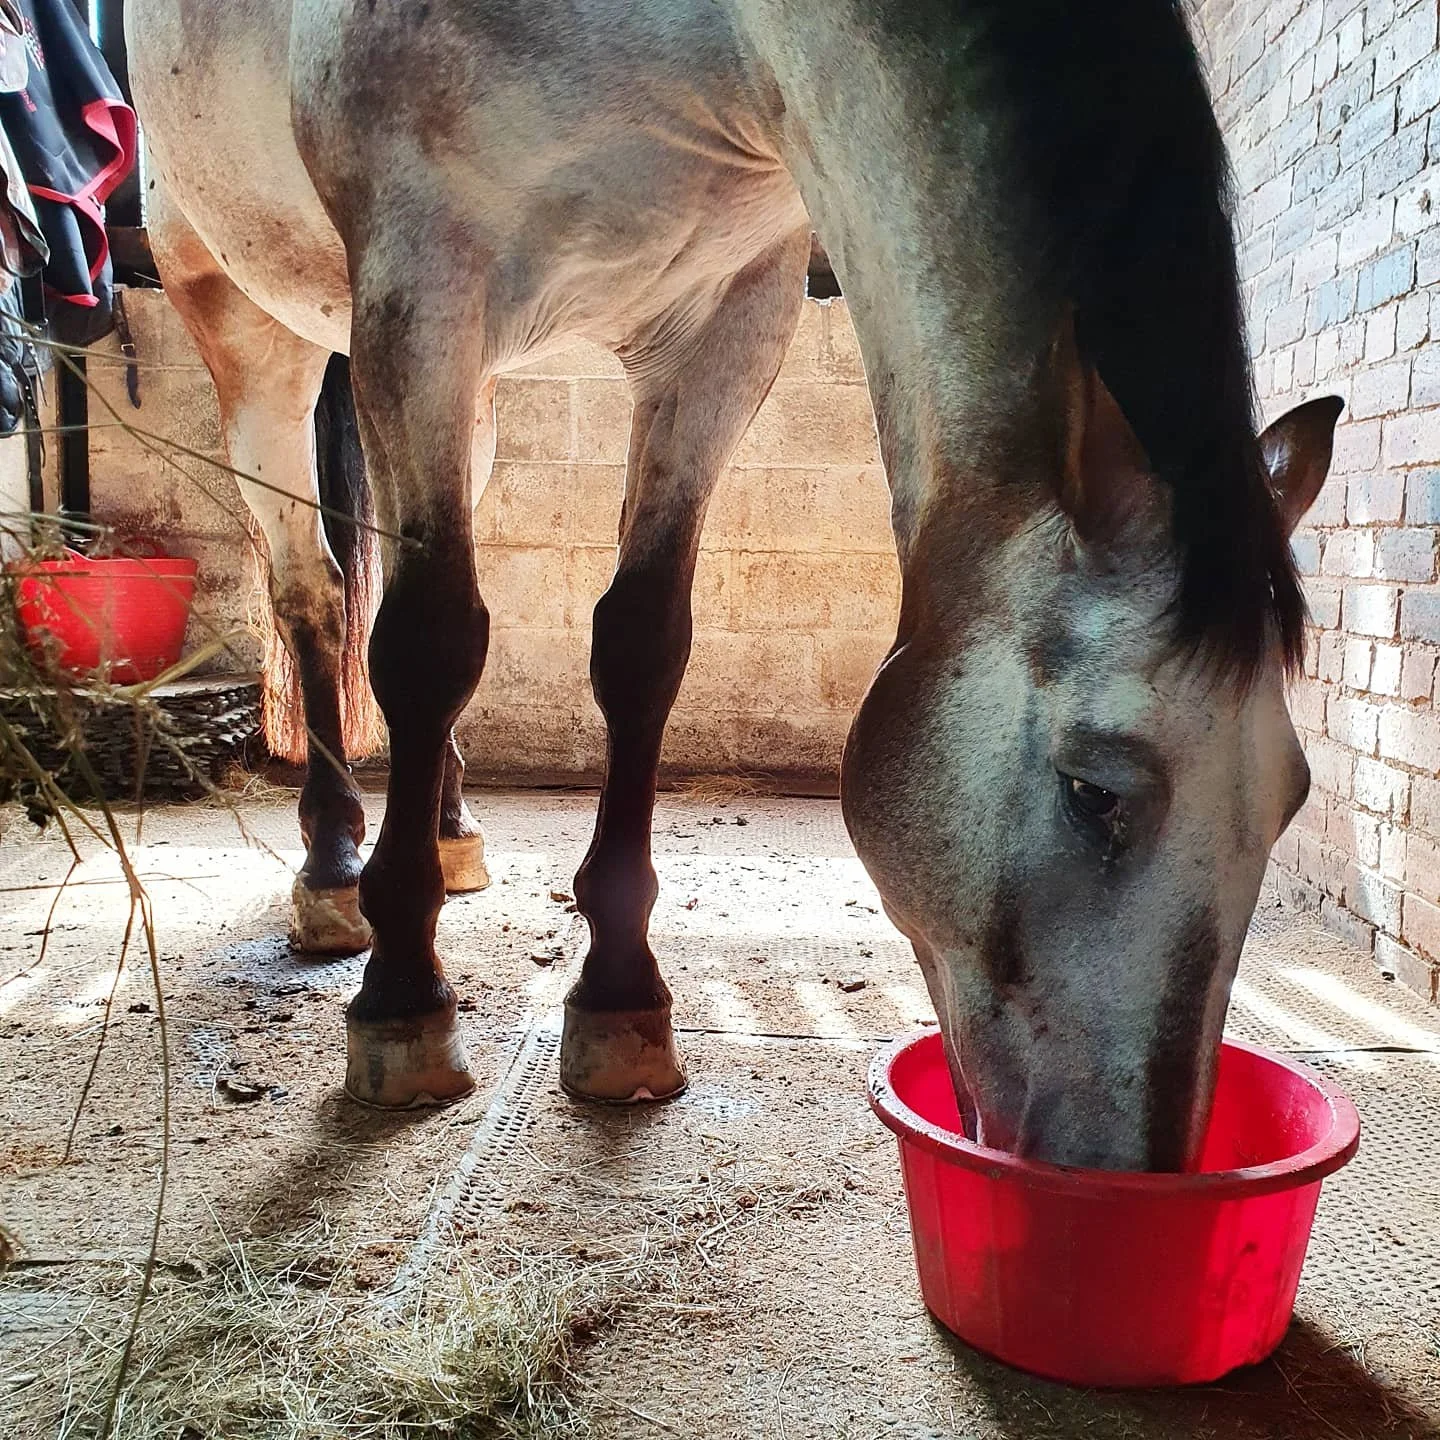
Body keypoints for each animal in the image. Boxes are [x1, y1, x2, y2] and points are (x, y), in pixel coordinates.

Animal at [125, 0, 1340, 1170]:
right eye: (1096, 793)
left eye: (1292, 798)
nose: (1133, 1169)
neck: (696, 36)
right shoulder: (422, 288)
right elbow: (427, 645)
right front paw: (405, 1000)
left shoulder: (727, 318)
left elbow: (639, 644)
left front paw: (619, 995)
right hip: (257, 326)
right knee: (316, 594)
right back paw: (337, 873)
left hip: (465, 395)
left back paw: (452, 829)